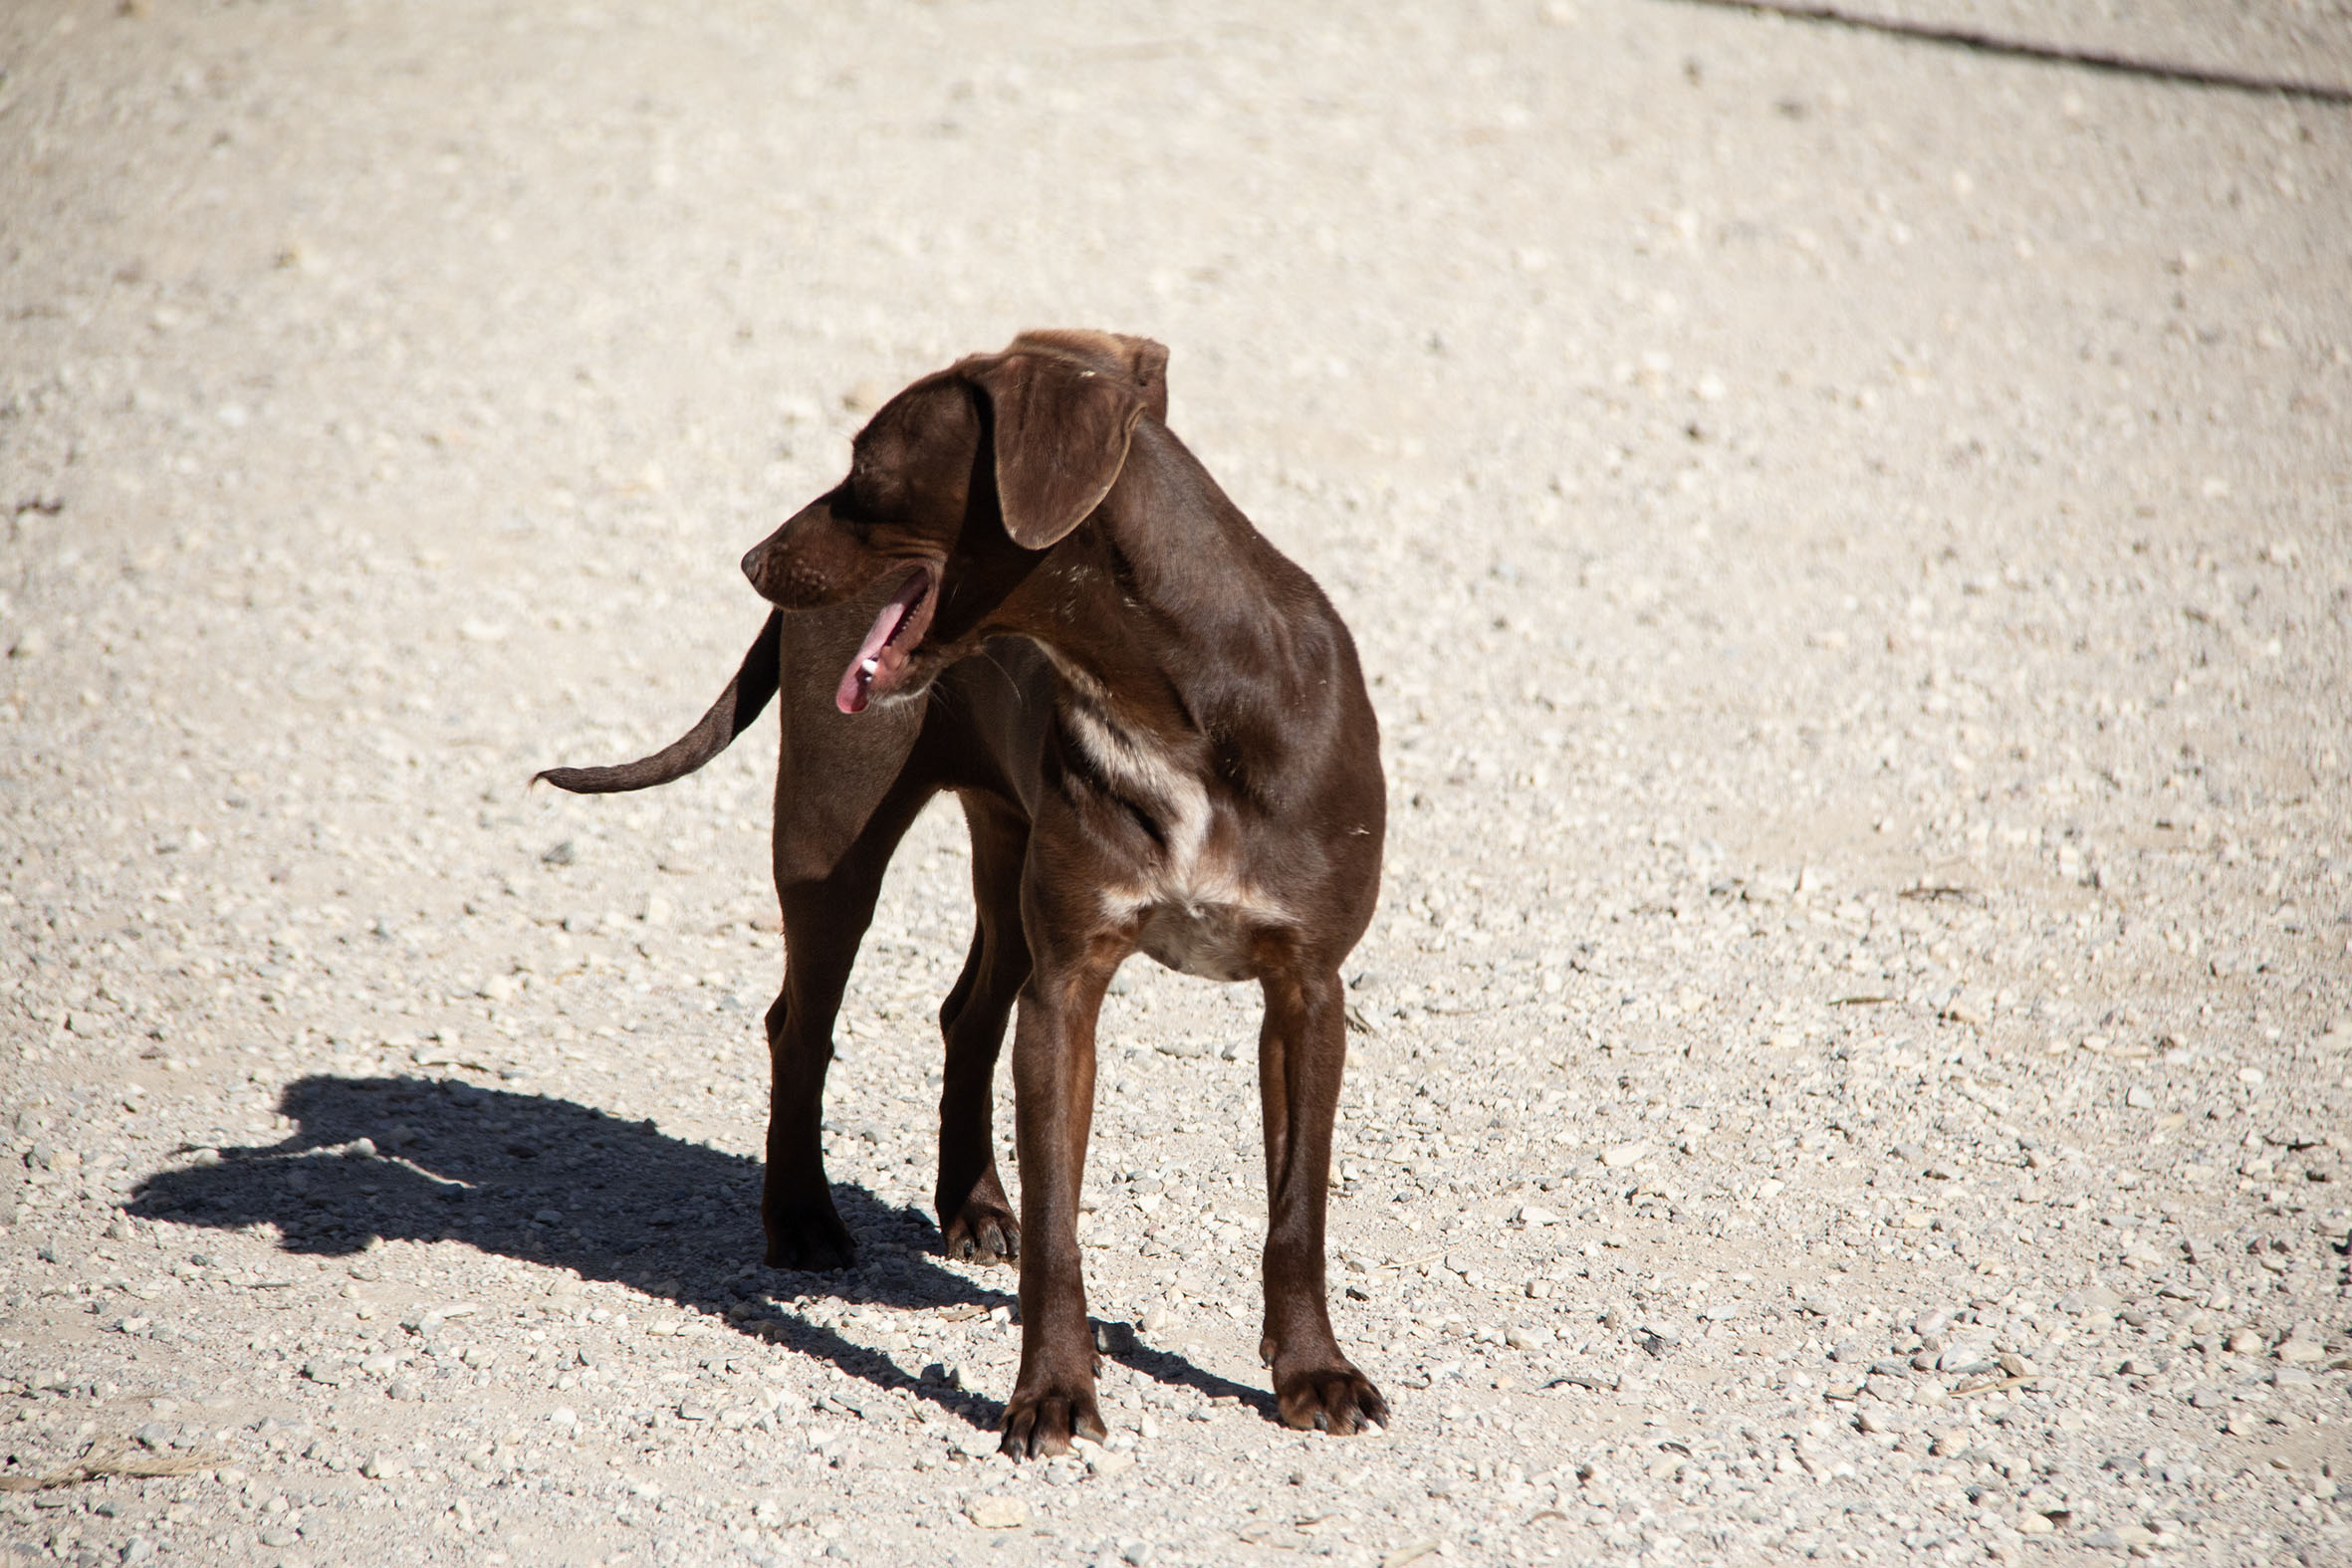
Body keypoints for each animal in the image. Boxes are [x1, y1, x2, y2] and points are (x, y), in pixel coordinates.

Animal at [538, 331, 1387, 1454]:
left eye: (867, 468)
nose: (752, 563)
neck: (1180, 704)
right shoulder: (1068, 992)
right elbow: (1061, 1231)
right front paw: (1053, 1392)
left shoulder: (1306, 991)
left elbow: (1298, 1213)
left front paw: (1313, 1373)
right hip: (832, 846)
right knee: (799, 1026)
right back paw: (802, 1217)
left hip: (1005, 843)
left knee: (966, 1014)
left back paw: (973, 1203)